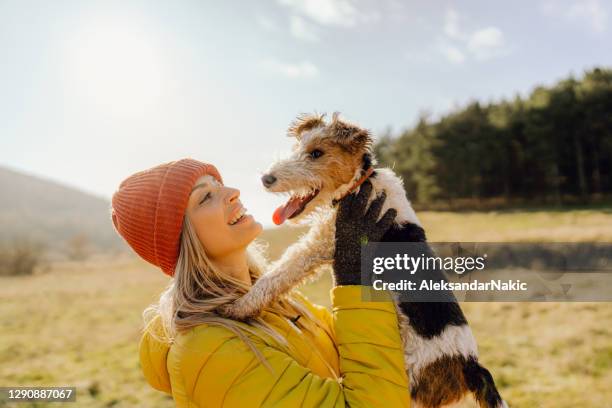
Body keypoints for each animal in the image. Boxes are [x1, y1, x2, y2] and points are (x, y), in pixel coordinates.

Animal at [220, 112, 506, 408]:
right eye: (297, 148)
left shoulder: (321, 244)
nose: (267, 179)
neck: (360, 185)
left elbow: (279, 273)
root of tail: (471, 364)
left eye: (317, 153)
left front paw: (239, 307)